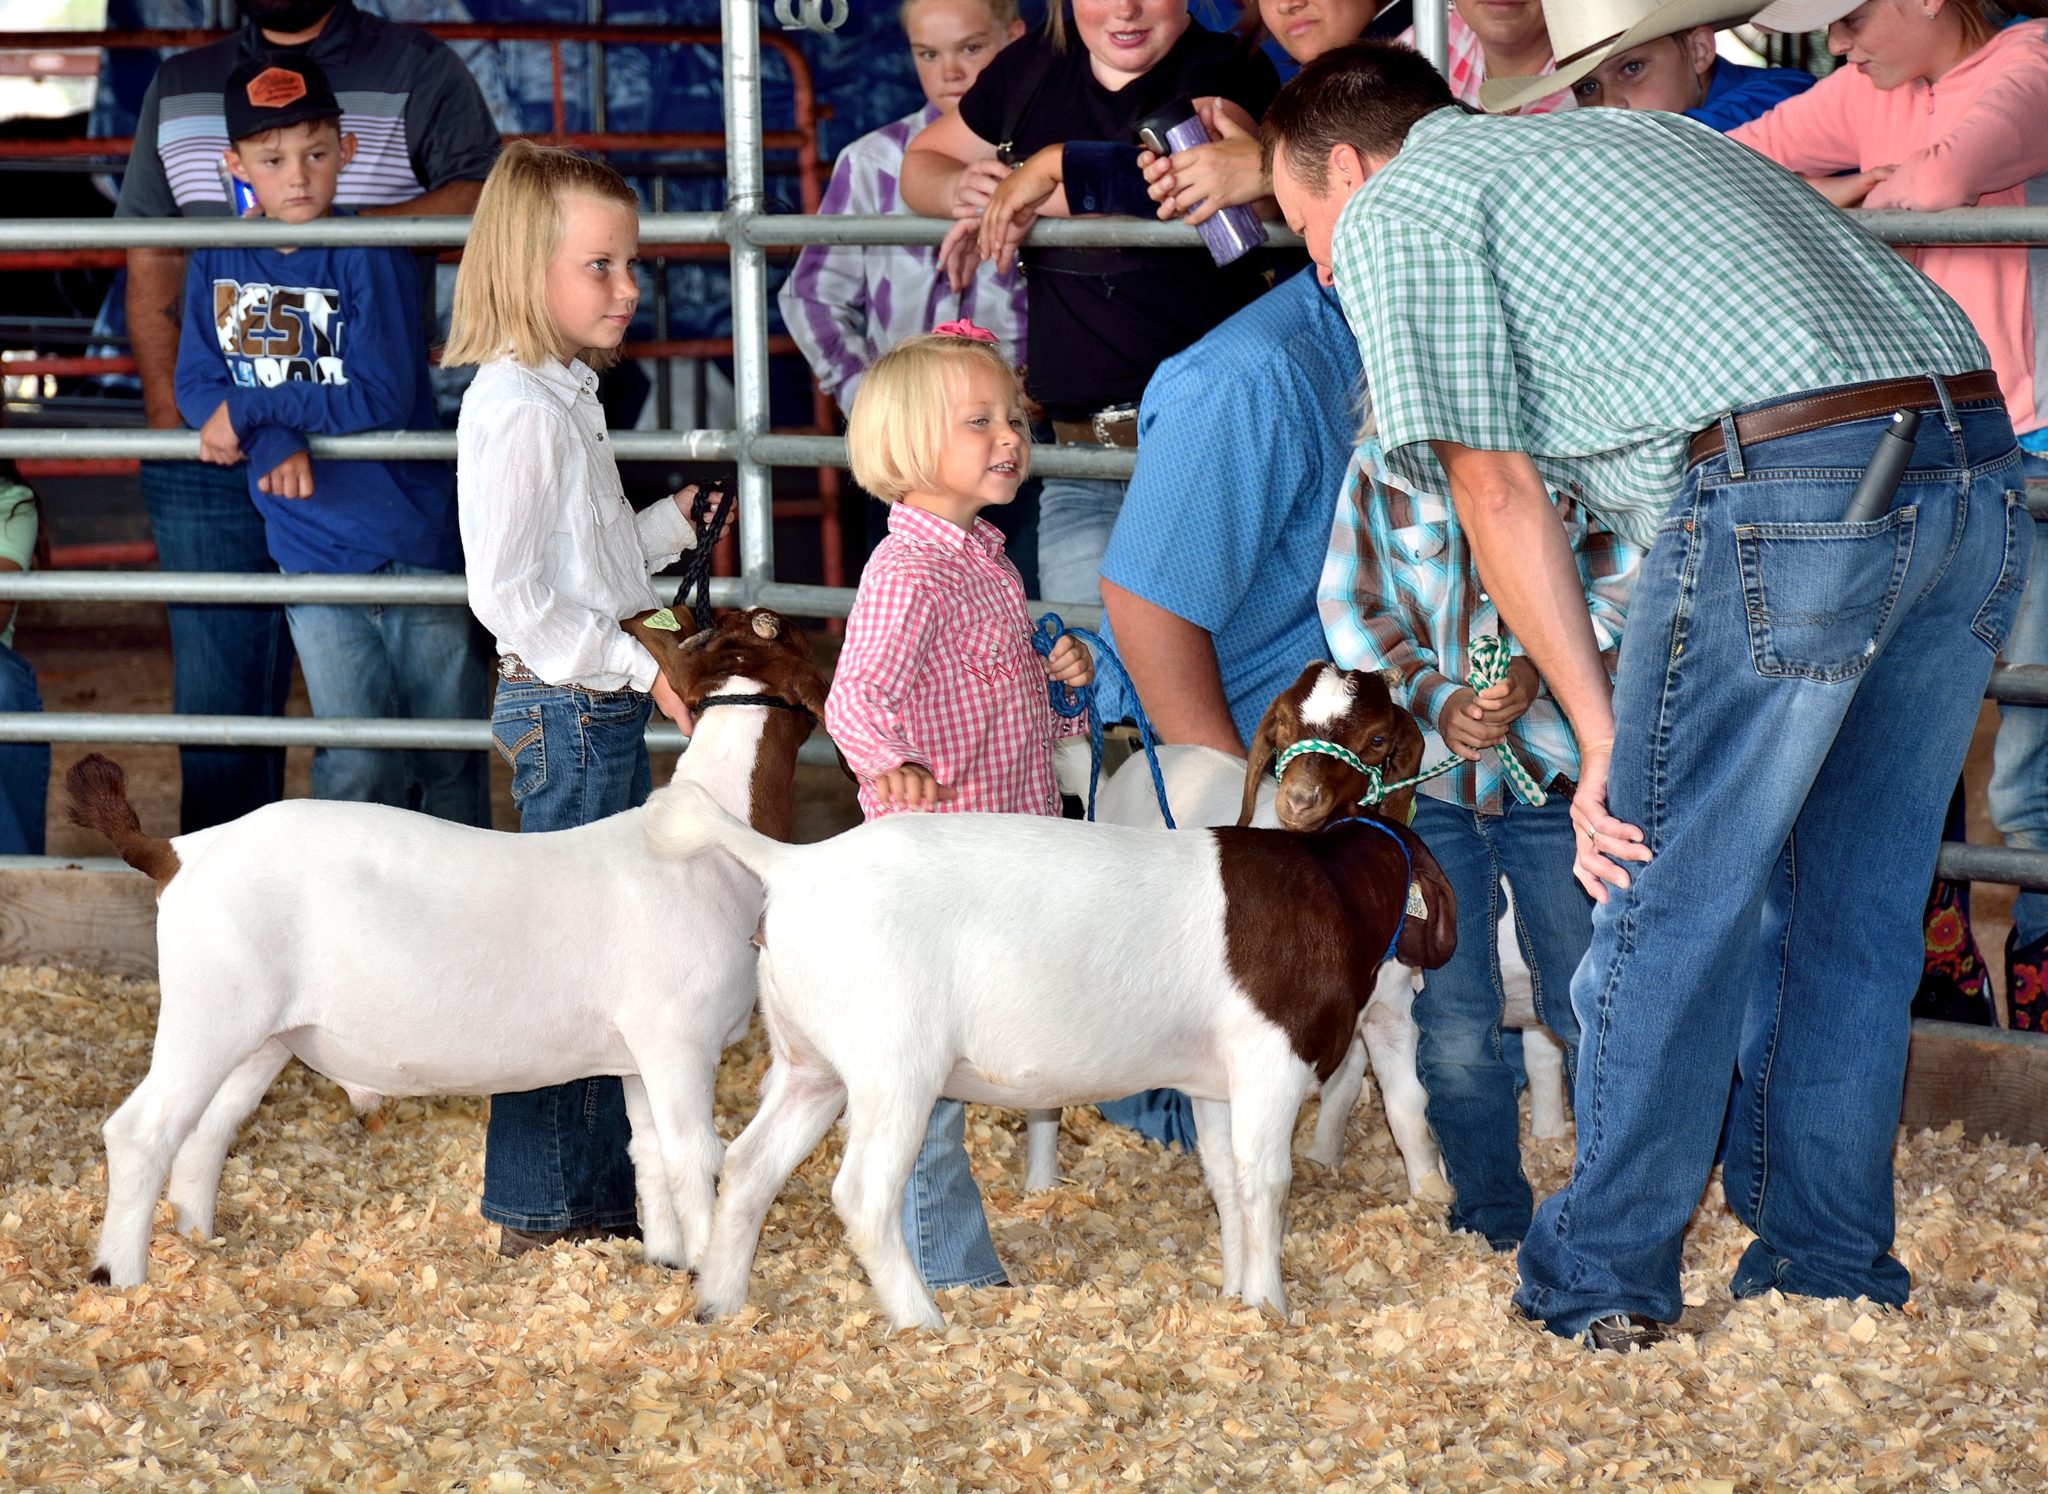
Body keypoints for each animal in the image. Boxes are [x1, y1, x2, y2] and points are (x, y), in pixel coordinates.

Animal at [72, 606, 823, 1278]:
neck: (707, 846)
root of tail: (179, 852)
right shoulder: (679, 1038)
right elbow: (696, 1154)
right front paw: (705, 1271)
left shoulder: (636, 1056)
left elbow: (651, 1155)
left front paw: (666, 1259)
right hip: (211, 1011)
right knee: (140, 1131)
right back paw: (121, 1273)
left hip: (264, 1035)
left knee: (205, 1133)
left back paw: (200, 1242)